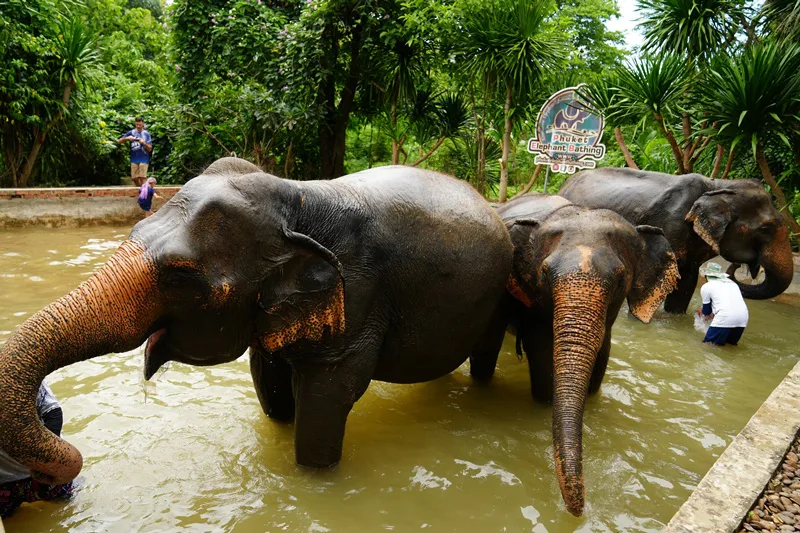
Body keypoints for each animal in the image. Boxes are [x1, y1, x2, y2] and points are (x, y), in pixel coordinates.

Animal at [0, 158, 513, 486]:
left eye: (181, 277)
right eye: (133, 231)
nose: (60, 454)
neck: (302, 198)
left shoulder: (358, 297)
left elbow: (327, 399)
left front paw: (313, 483)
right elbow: (269, 382)